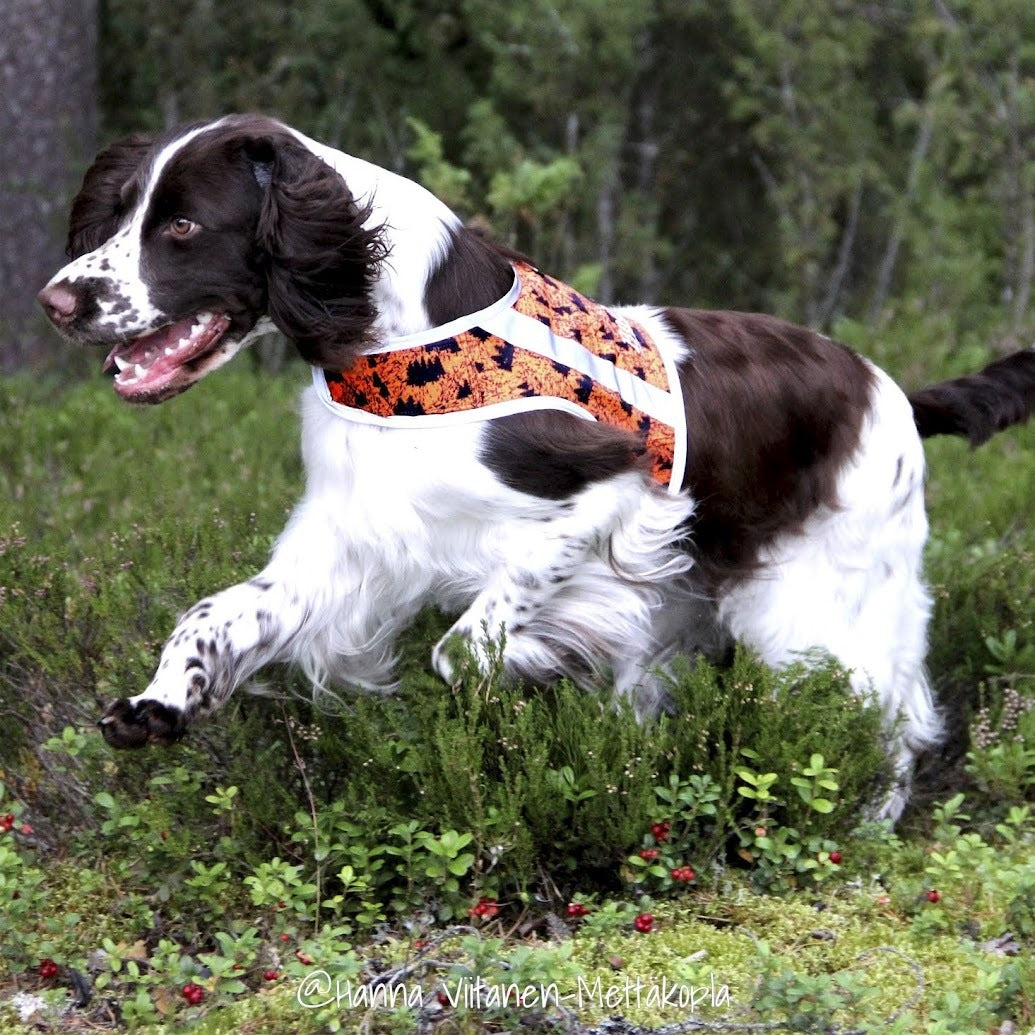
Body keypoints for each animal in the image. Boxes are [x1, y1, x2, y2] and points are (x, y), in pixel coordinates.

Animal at [36, 113, 1035, 819]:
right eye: (121, 212)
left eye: (183, 225)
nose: (57, 300)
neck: (396, 340)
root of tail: (895, 391)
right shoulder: (351, 538)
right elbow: (217, 613)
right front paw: (161, 700)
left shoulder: (610, 495)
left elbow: (463, 645)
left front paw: (540, 668)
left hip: (816, 607)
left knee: (885, 724)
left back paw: (861, 835)